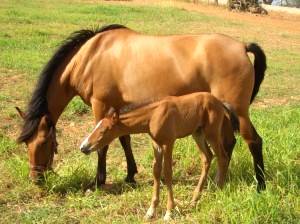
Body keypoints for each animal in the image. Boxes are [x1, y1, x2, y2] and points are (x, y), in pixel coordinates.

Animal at [15, 23, 266, 191]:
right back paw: (221, 180)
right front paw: (130, 174)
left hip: (238, 112)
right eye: (26, 143)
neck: (91, 57)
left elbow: (102, 145)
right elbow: (123, 139)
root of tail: (242, 47)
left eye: (44, 142)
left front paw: (98, 181)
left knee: (253, 141)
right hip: (222, 114)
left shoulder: (100, 106)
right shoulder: (117, 108)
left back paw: (260, 186)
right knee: (229, 143)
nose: (35, 179)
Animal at [79, 92, 239, 220]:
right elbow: (156, 172)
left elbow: (167, 173)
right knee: (208, 157)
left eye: (104, 130)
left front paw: (169, 212)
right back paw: (194, 199)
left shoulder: (168, 143)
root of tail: (219, 102)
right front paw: (151, 211)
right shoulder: (156, 144)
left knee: (222, 157)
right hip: (198, 133)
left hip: (211, 133)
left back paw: (218, 189)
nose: (83, 147)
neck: (153, 115)